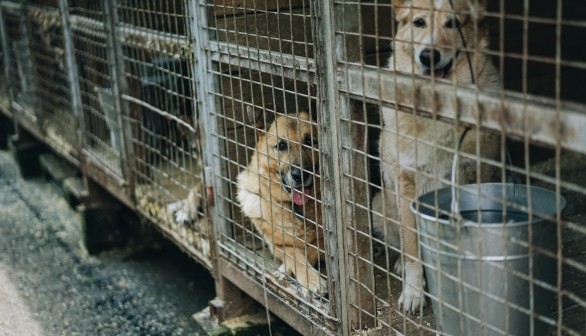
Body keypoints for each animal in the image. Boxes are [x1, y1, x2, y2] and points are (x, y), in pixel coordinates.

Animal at [376, 0, 500, 314]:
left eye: (452, 23)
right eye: (419, 22)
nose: (428, 55)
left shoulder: (476, 174)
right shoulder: (406, 183)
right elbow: (412, 248)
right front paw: (413, 293)